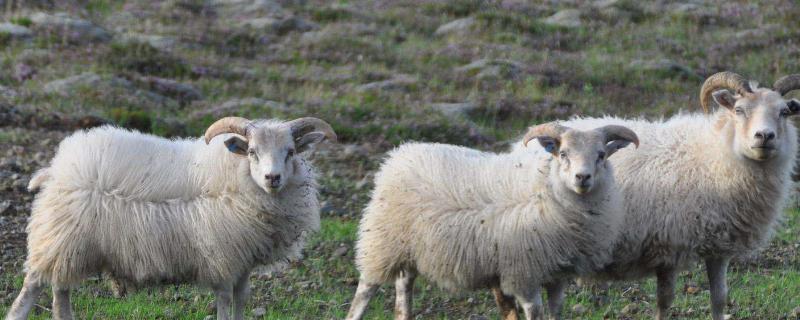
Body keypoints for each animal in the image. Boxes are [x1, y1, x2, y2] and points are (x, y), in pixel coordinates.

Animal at [3, 115, 334, 320]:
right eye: (252, 151)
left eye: (290, 151)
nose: (272, 177)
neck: (234, 177)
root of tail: (58, 168)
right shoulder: (222, 257)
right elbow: (225, 301)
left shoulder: (243, 260)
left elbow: (241, 299)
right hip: (58, 238)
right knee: (33, 287)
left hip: (71, 245)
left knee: (60, 291)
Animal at [344, 121, 636, 318]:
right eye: (563, 153)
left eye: (601, 155)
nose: (582, 177)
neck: (545, 190)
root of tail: (400, 154)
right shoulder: (523, 271)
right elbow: (534, 311)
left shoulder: (557, 272)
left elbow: (555, 311)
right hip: (382, 240)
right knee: (366, 288)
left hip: (410, 245)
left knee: (404, 283)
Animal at [500, 71, 800, 318]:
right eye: (739, 109)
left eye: (784, 112)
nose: (764, 136)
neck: (714, 155)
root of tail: (517, 148)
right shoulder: (667, 245)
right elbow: (665, 301)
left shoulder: (719, 246)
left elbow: (719, 299)